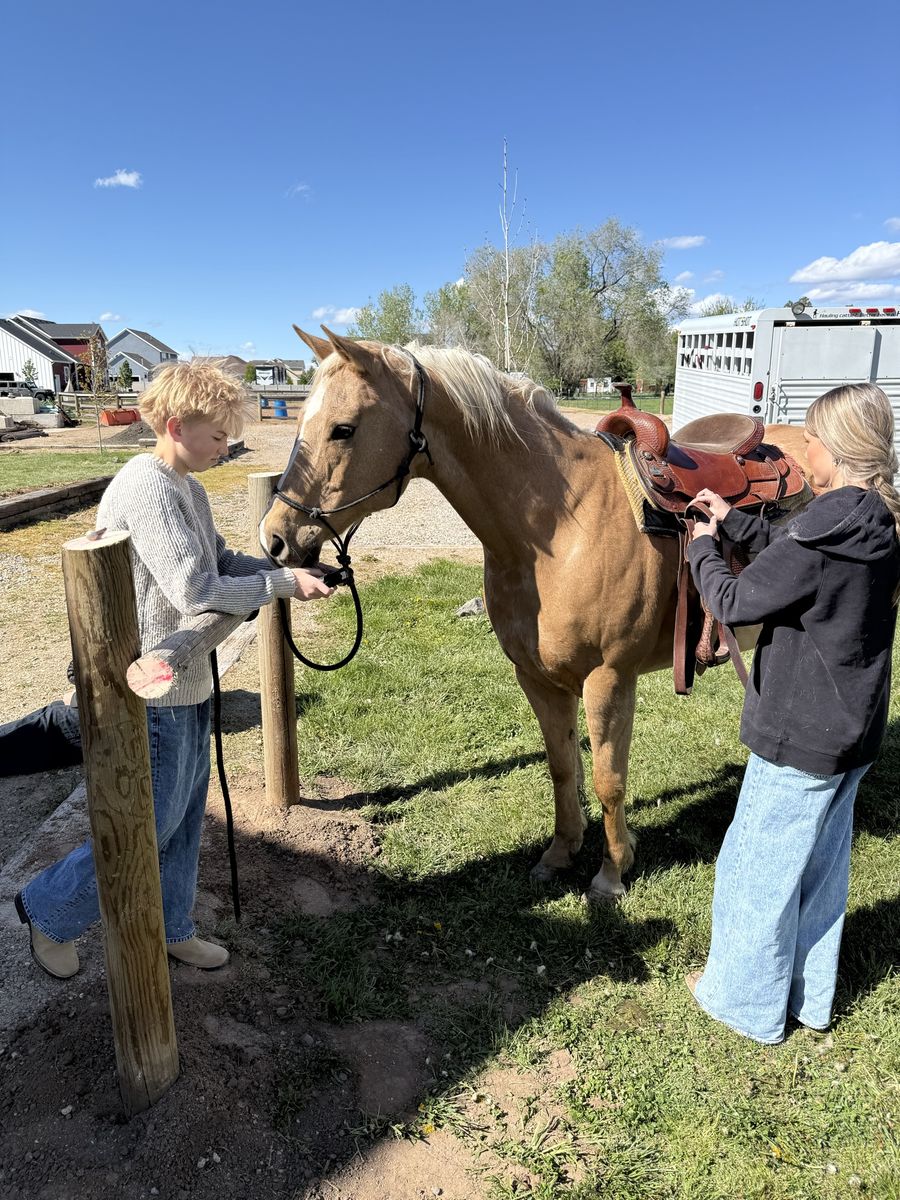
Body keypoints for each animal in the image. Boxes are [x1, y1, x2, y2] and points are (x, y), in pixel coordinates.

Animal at [262, 326, 808, 903]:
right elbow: (563, 768)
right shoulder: (538, 678)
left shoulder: (610, 680)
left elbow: (608, 781)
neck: (564, 529)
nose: (274, 538)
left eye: (343, 429)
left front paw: (611, 873)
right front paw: (561, 854)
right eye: (301, 422)